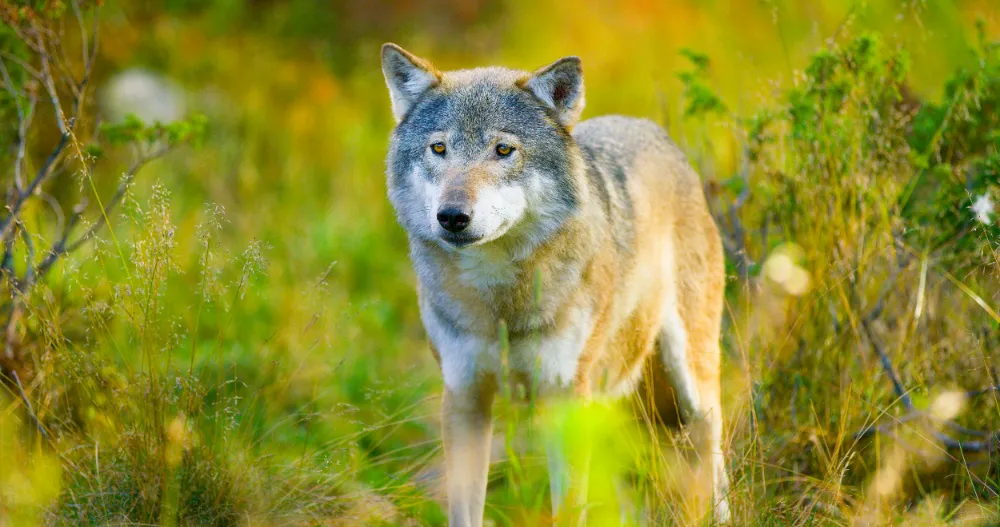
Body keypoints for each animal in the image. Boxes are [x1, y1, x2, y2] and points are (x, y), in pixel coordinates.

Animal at [378, 43, 732, 524]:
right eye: (439, 147)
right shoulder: (465, 398)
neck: (501, 304)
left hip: (692, 383)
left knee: (714, 459)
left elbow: (567, 507)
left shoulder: (566, 403)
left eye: (503, 149)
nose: (451, 216)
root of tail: (653, 130)